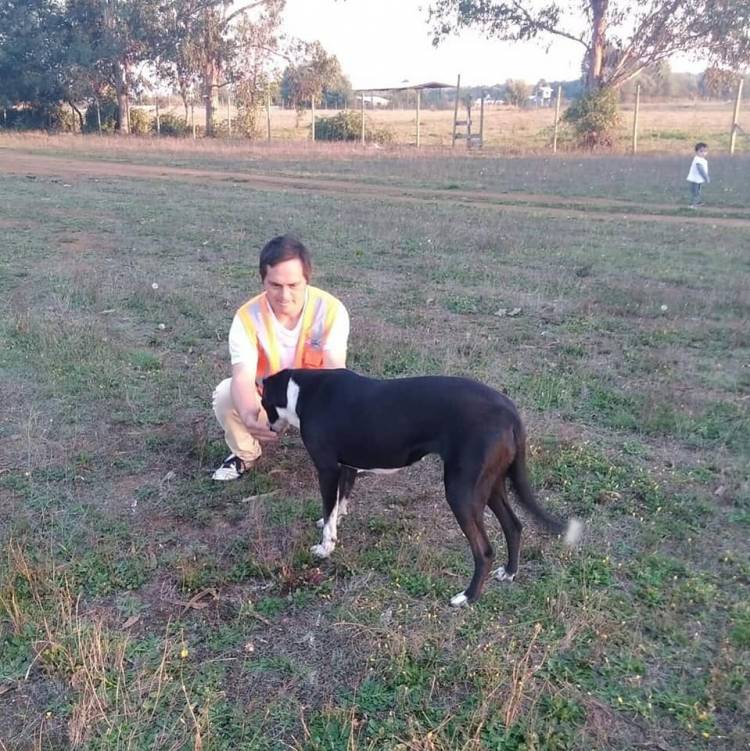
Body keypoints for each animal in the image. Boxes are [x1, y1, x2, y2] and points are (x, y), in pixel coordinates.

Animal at [262, 368, 584, 608]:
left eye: (263, 399)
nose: (267, 428)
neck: (301, 391)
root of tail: (510, 412)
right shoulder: (347, 466)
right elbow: (339, 503)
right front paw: (335, 521)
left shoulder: (328, 469)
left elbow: (329, 510)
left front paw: (325, 547)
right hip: (490, 486)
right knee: (514, 526)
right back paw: (509, 573)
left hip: (460, 492)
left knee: (484, 550)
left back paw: (467, 598)